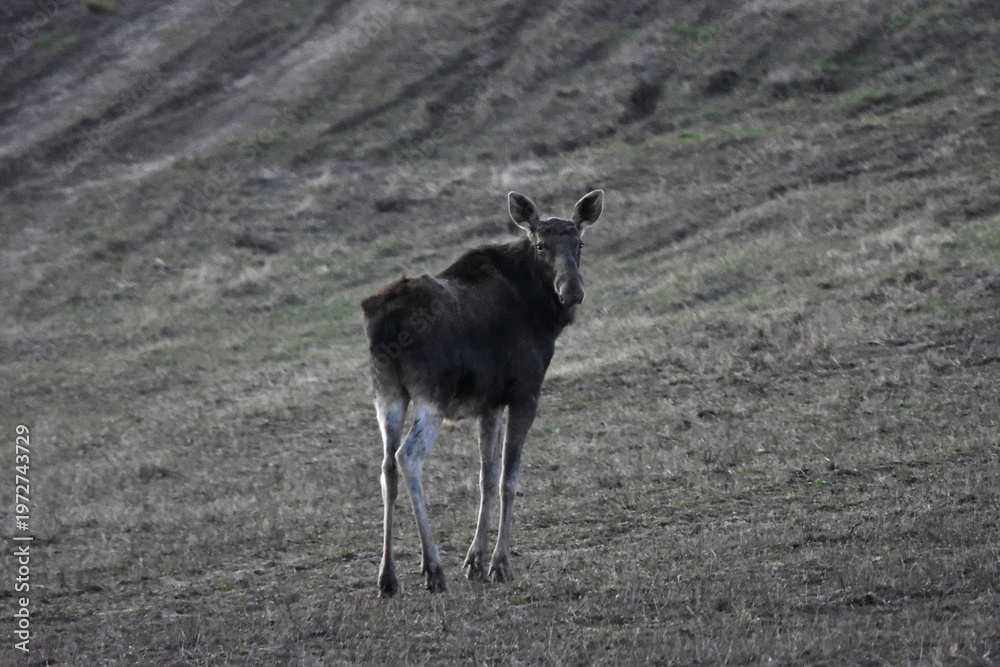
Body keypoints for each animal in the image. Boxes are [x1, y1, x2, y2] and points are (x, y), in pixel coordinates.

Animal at [361, 189, 604, 596]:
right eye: (541, 245)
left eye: (579, 243)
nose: (572, 292)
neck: (541, 314)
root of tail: (384, 321)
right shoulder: (525, 393)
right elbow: (508, 479)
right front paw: (499, 563)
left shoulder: (489, 403)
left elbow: (486, 478)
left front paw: (475, 560)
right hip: (431, 393)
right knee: (407, 456)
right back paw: (432, 567)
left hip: (388, 393)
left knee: (386, 466)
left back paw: (387, 577)